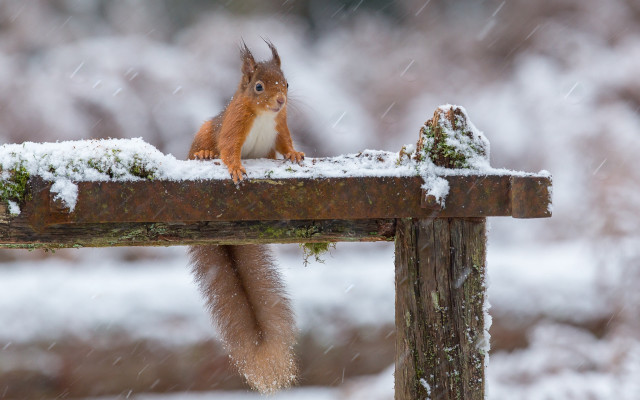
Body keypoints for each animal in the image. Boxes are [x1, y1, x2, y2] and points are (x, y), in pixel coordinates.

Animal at [187, 41, 304, 394]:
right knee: (205, 147)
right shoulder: (233, 126)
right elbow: (228, 148)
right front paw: (236, 169)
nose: (281, 102)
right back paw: (203, 154)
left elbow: (285, 143)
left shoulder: (281, 126)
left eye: (287, 84)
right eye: (259, 87)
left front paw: (294, 154)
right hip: (205, 130)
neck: (266, 116)